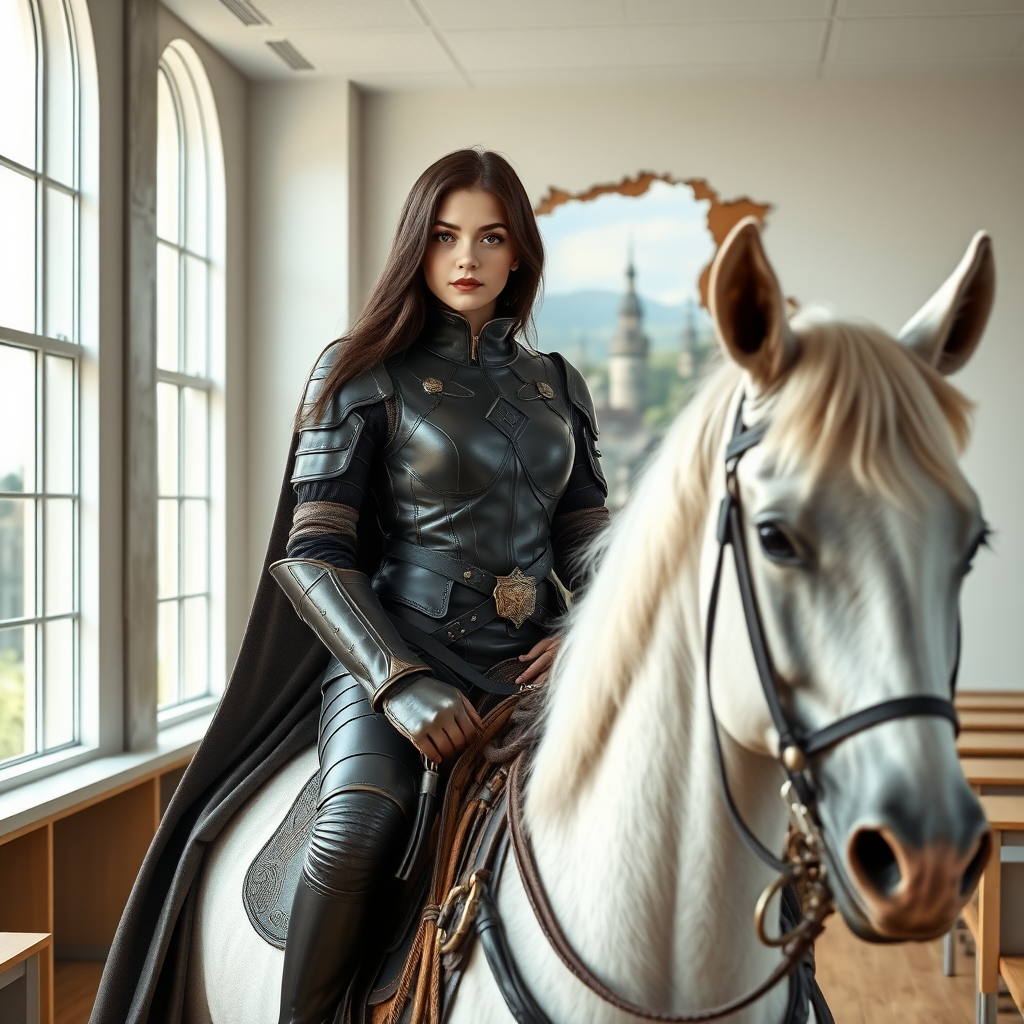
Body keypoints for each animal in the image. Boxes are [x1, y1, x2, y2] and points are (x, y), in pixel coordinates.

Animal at [188, 224, 995, 1024]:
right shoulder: (340, 386)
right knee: (356, 825)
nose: (929, 856)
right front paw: (430, 708)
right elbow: (316, 545)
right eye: (774, 537)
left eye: (974, 542)